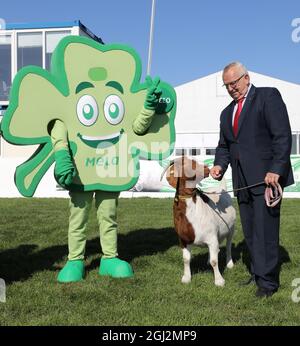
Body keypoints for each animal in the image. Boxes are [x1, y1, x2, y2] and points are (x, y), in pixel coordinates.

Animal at [163, 157, 236, 286]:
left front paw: (219, 281)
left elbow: (214, 261)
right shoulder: (183, 240)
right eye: (191, 164)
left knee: (228, 246)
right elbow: (186, 259)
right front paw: (186, 278)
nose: (207, 168)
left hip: (231, 229)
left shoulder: (212, 237)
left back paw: (230, 264)